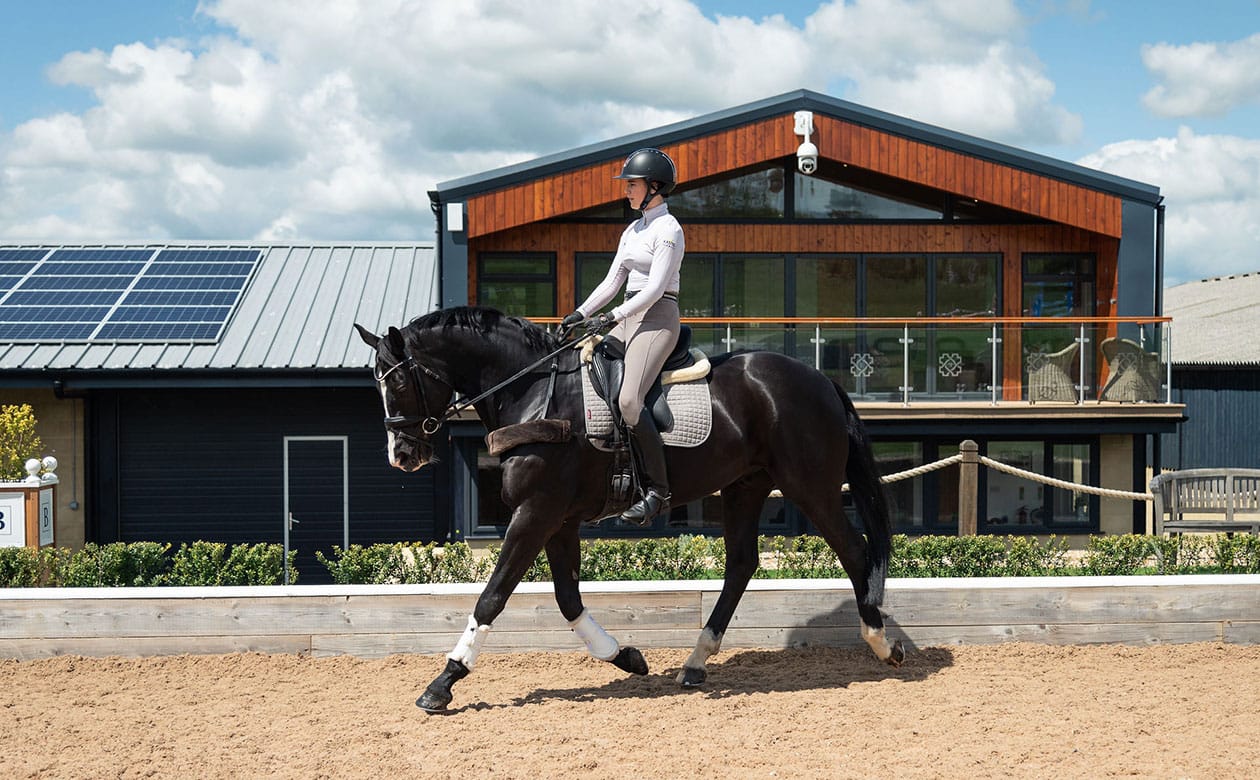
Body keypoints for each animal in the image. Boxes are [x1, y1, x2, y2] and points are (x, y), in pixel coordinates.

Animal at [355, 306, 907, 715]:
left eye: (397, 383)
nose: (401, 455)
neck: (533, 392)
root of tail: (821, 380)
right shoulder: (559, 519)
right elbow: (568, 600)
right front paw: (625, 657)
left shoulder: (537, 511)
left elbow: (493, 597)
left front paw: (444, 681)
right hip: (744, 488)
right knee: (742, 565)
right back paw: (695, 662)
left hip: (809, 487)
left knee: (855, 552)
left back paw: (882, 643)